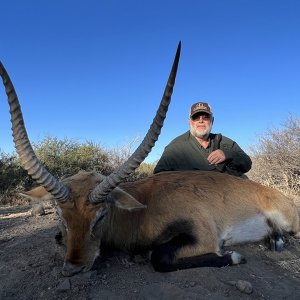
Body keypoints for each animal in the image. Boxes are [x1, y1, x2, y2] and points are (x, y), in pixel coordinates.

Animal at [0, 42, 300, 276]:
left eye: (101, 215)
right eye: (60, 215)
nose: (74, 267)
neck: (143, 207)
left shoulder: (205, 237)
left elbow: (158, 258)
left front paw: (233, 257)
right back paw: (275, 240)